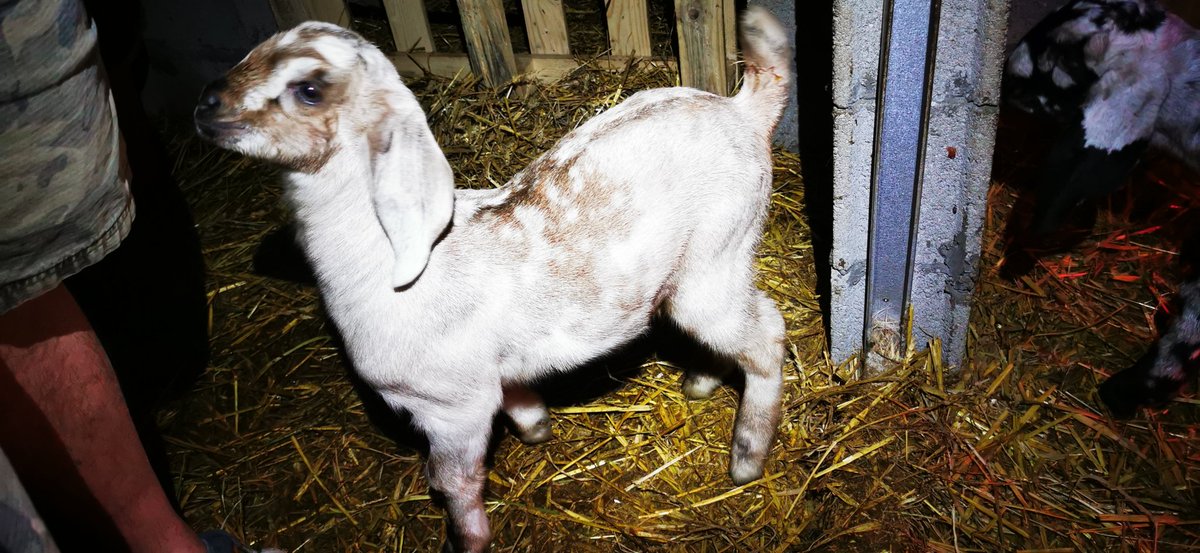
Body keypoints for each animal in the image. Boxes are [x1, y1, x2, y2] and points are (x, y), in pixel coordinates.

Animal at [194, 8, 792, 551]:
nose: (205, 105)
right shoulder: (488, 376)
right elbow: (514, 397)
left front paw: (471, 540)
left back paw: (746, 458)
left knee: (767, 334)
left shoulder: (450, 407)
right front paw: (536, 427)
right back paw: (701, 383)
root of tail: (743, 109)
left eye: (310, 89)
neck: (394, 260)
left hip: (718, 254)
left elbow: (452, 482)